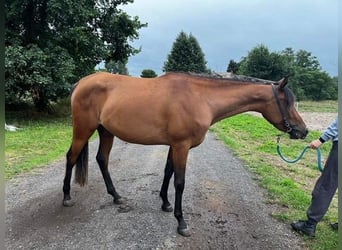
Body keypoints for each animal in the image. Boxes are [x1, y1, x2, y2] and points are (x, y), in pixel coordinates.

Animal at [62, 72, 308, 236]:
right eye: (287, 102)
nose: (303, 131)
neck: (200, 97)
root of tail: (82, 82)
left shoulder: (175, 145)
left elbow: (168, 172)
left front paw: (165, 203)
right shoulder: (181, 145)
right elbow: (180, 181)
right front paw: (181, 222)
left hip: (106, 132)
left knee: (102, 160)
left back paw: (116, 196)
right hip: (83, 130)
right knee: (71, 158)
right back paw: (66, 197)